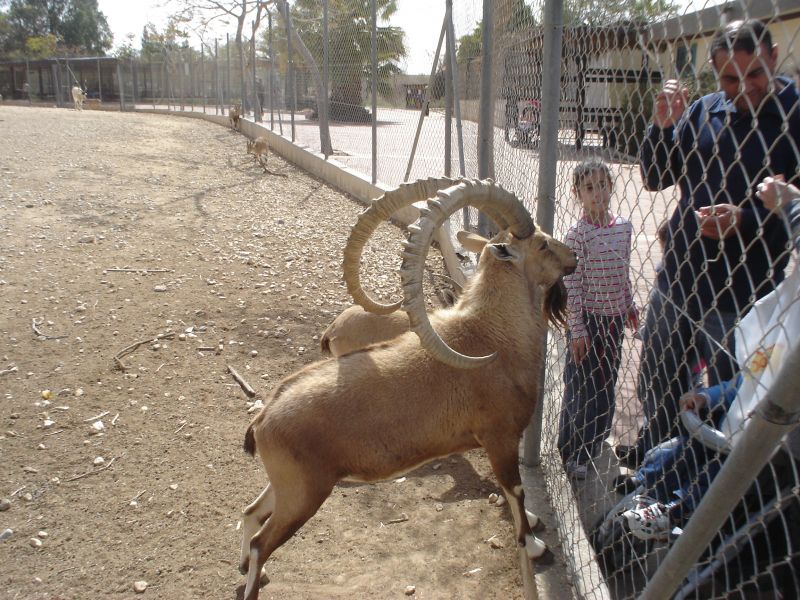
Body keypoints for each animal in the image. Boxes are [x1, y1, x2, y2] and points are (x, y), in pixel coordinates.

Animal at [239, 179, 576, 600]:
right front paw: (533, 544)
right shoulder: (499, 437)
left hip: (284, 487)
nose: (573, 258)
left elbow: (510, 490)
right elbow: (514, 488)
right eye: (543, 245)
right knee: (260, 542)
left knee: (249, 515)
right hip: (303, 495)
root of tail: (264, 419)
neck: (493, 335)